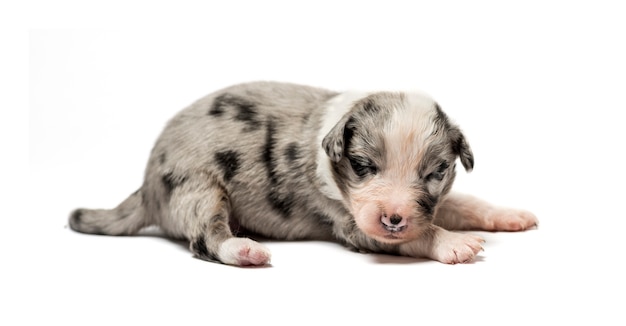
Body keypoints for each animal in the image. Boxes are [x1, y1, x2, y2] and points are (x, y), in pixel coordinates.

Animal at [69, 81, 536, 264]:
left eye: (435, 173)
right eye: (362, 166)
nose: (394, 218)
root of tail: (146, 185)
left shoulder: (429, 204)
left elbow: (461, 202)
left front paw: (510, 215)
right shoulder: (351, 224)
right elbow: (416, 236)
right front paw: (455, 243)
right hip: (196, 187)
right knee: (205, 237)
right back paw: (245, 249)